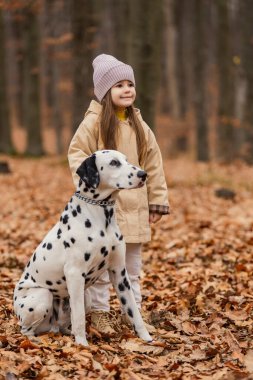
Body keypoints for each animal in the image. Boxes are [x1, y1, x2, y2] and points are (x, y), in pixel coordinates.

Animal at [13, 150, 152, 346]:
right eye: (114, 162)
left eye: (126, 160)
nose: (143, 174)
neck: (101, 217)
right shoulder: (75, 274)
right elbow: (78, 317)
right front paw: (82, 345)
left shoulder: (119, 273)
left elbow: (133, 310)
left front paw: (147, 338)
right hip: (43, 295)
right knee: (25, 329)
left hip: (86, 297)